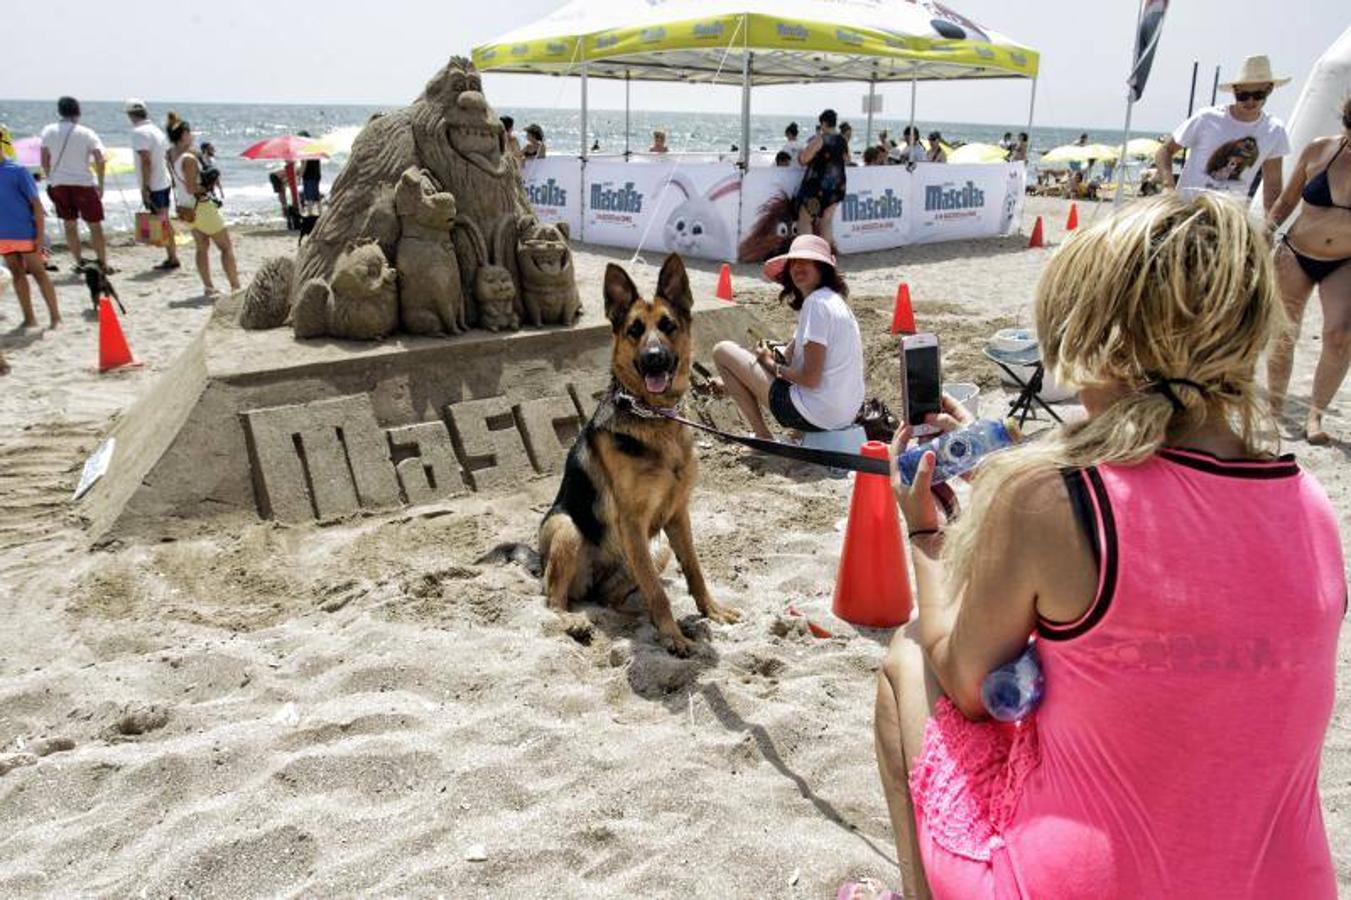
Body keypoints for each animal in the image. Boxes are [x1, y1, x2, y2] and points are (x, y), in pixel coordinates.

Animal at [537, 252, 740, 651]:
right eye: (634, 330)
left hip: (656, 549)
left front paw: (710, 611)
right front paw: (673, 636)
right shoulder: (632, 520)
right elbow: (658, 593)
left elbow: (694, 570)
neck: (656, 419)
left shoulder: (678, 515)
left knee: (611, 598)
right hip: (568, 528)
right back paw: (575, 622)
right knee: (554, 599)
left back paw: (632, 619)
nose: (654, 358)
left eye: (668, 325)